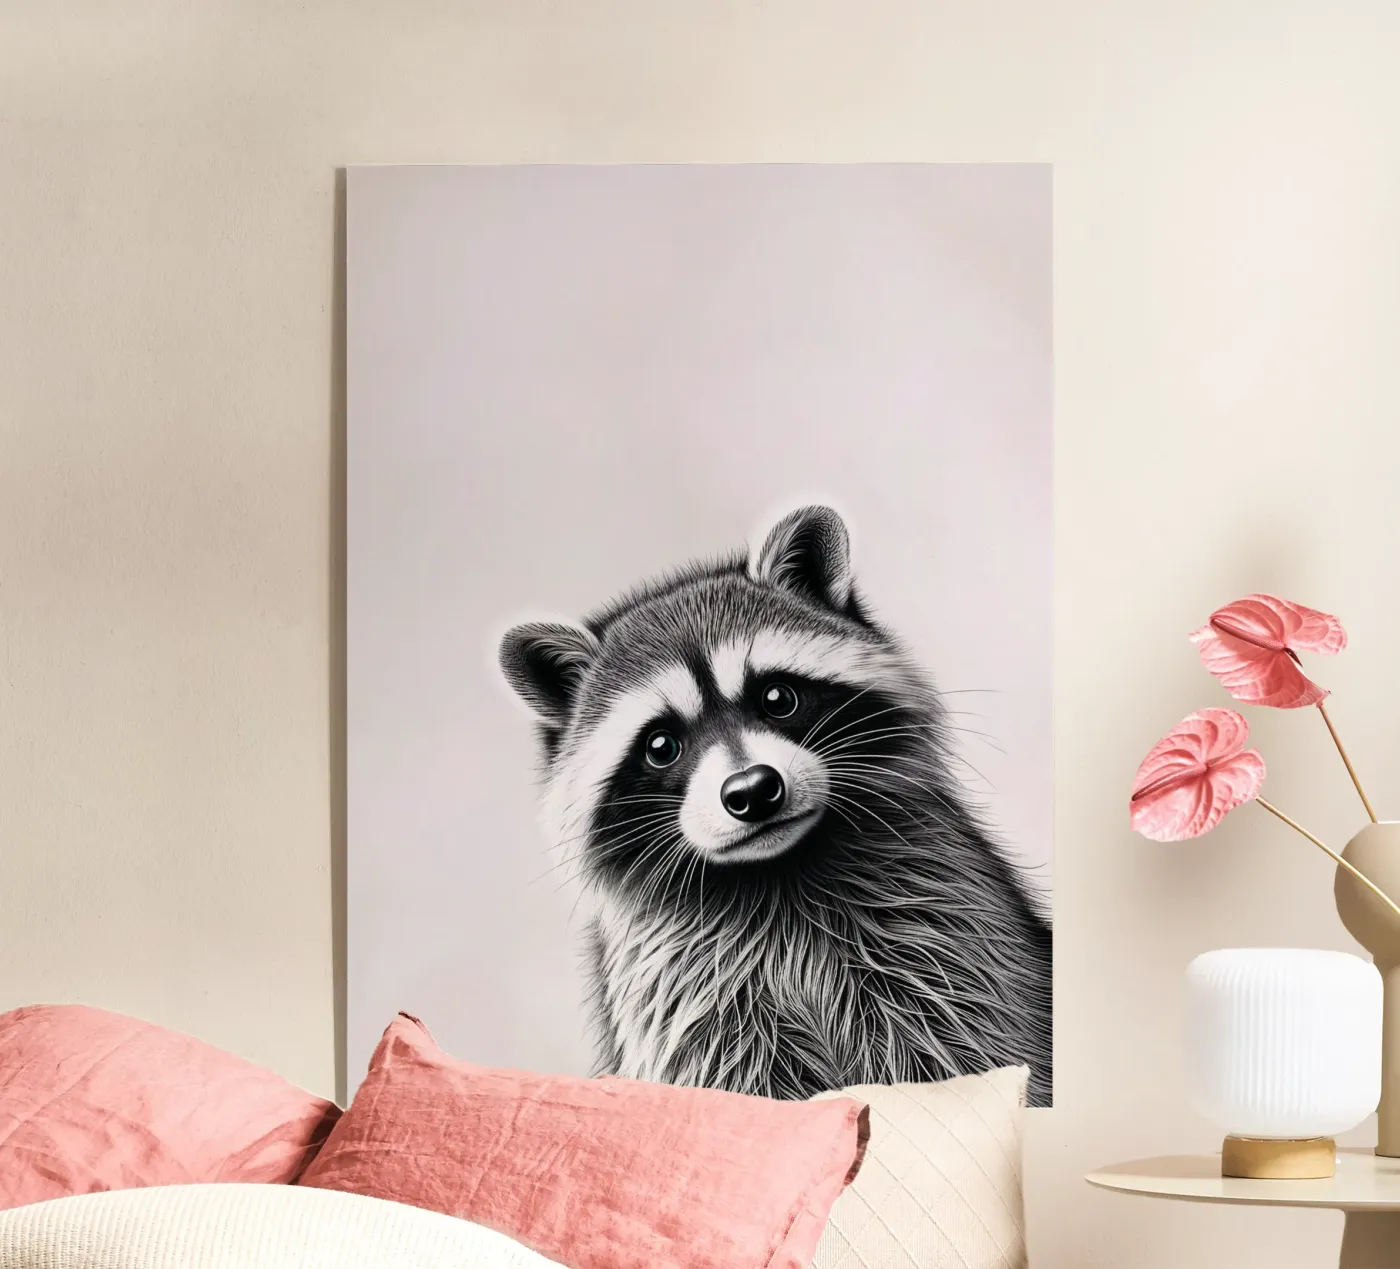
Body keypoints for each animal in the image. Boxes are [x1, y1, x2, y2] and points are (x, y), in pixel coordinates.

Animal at [500, 505, 1053, 1106]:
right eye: (661, 746)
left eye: (778, 698)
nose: (752, 790)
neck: (776, 872)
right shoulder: (685, 1001)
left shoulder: (948, 936)